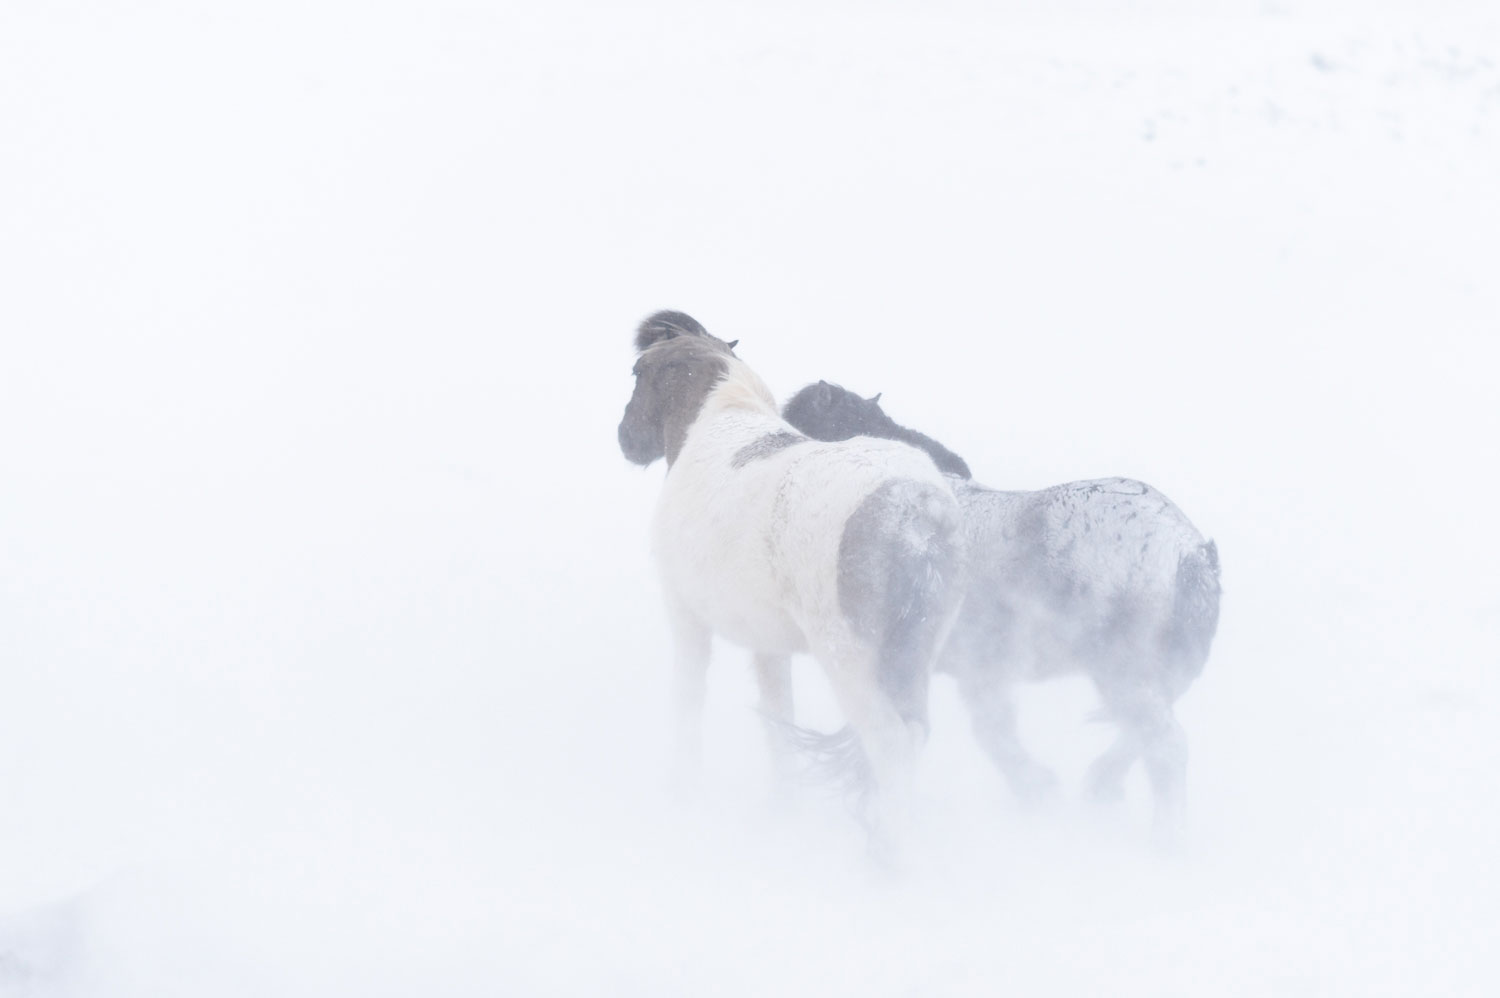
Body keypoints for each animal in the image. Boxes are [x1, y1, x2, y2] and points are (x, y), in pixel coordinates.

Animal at [618, 313, 960, 858]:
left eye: (637, 373)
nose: (624, 438)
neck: (716, 422)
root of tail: (913, 513)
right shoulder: (768, 646)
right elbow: (777, 719)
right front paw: (783, 808)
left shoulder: (686, 617)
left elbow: (689, 700)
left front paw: (683, 791)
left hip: (852, 664)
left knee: (890, 745)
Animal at [786, 379, 1218, 834]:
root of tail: (1188, 551)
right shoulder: (981, 671)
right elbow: (994, 731)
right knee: (1138, 738)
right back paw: (1102, 786)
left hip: (1123, 674)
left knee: (1165, 745)